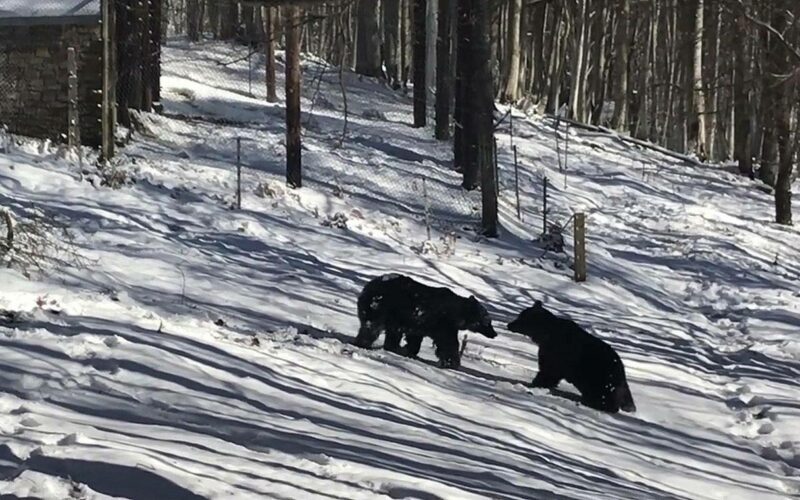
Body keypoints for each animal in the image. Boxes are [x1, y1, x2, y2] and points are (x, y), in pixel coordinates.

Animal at [354, 274, 496, 368]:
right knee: (372, 327)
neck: (457, 314)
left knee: (391, 333)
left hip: (393, 315)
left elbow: (414, 338)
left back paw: (392, 347)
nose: (494, 334)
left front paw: (408, 350)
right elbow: (448, 343)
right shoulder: (442, 322)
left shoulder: (419, 323)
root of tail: (369, 285)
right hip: (380, 307)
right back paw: (364, 343)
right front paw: (452, 362)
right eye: (487, 321)